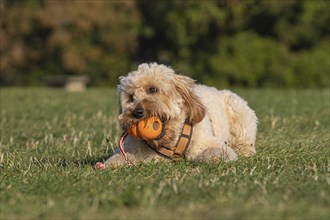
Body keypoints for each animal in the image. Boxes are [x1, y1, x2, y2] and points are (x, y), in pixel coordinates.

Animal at [104, 62, 258, 168]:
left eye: (152, 89)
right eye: (130, 97)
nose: (136, 113)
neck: (171, 140)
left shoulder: (207, 143)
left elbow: (214, 151)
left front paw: (215, 158)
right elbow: (121, 156)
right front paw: (111, 164)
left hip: (239, 111)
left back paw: (245, 150)